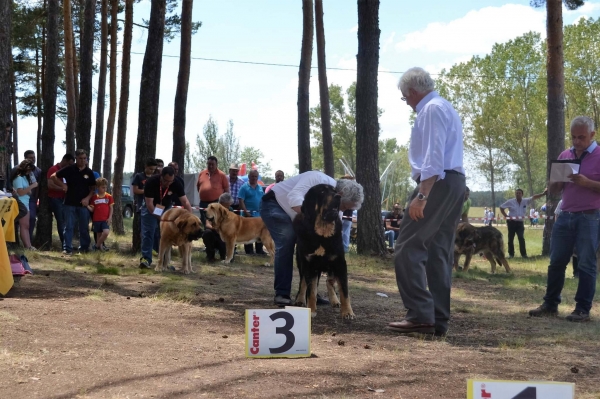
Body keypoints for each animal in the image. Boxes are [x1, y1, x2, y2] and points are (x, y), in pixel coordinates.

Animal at [292, 184, 354, 318]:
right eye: (322, 192)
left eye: (335, 191)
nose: (338, 196)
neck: (322, 235)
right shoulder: (310, 265)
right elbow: (311, 291)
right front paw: (311, 310)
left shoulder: (340, 263)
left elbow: (344, 290)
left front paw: (347, 311)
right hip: (303, 264)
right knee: (303, 283)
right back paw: (300, 300)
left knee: (329, 281)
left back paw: (335, 300)